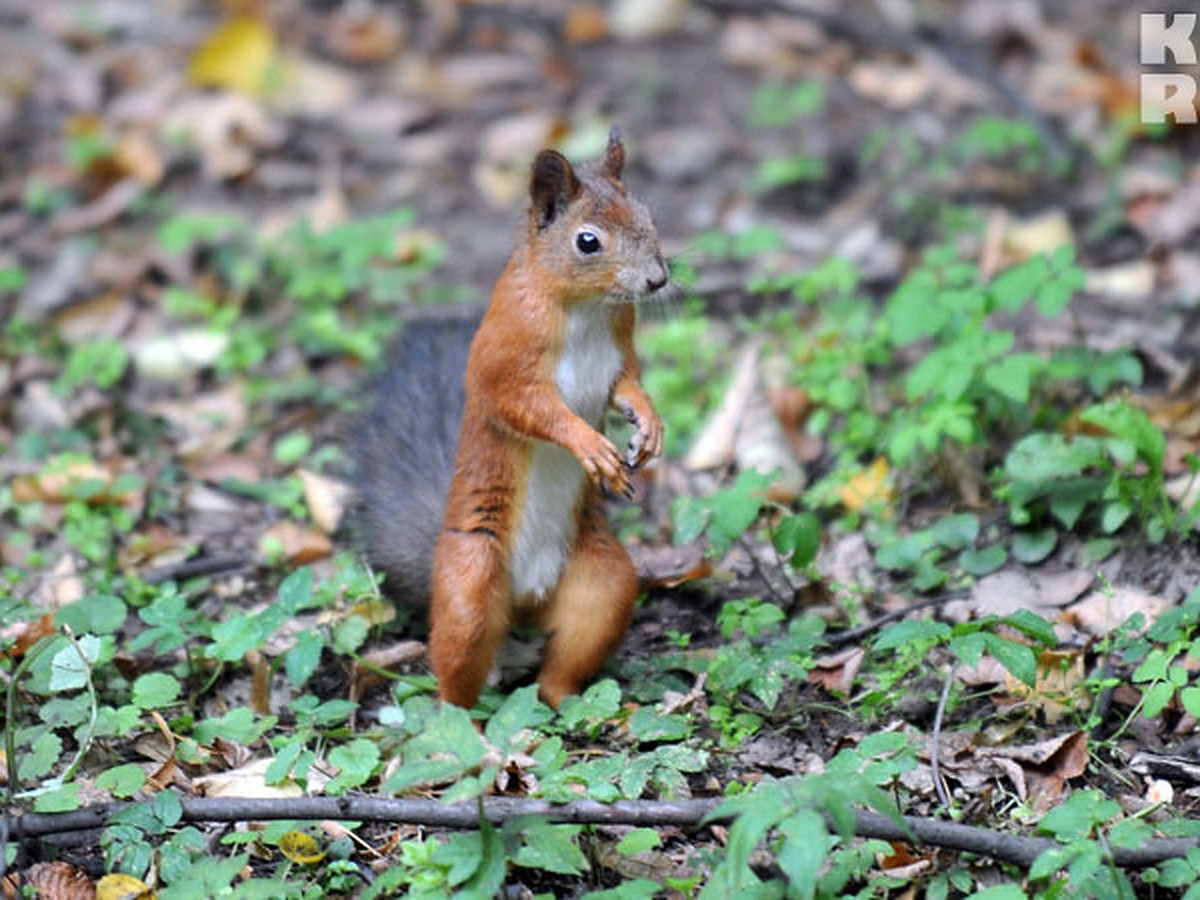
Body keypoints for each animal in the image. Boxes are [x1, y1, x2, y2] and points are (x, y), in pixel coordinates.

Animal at [355, 132, 672, 710]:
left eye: (648, 214)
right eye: (587, 241)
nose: (657, 280)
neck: (587, 307)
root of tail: (524, 601)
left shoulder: (621, 349)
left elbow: (629, 386)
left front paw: (650, 424)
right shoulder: (505, 354)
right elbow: (524, 407)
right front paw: (589, 445)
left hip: (602, 580)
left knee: (568, 659)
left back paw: (574, 703)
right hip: (473, 579)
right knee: (455, 667)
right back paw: (466, 722)